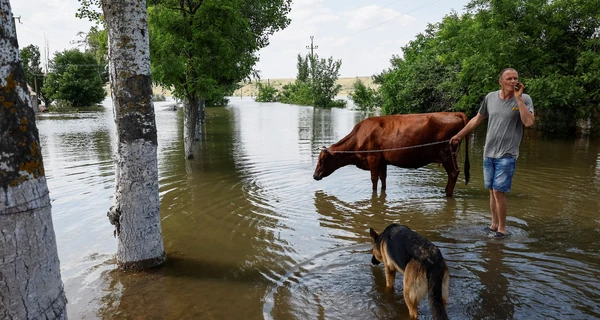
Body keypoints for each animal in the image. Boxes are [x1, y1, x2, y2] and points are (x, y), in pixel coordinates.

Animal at [312, 112, 472, 198]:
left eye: (322, 160)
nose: (314, 176)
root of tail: (453, 113)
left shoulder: (373, 158)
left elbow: (374, 179)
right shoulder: (382, 160)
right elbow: (383, 179)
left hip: (446, 153)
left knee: (453, 172)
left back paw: (448, 194)